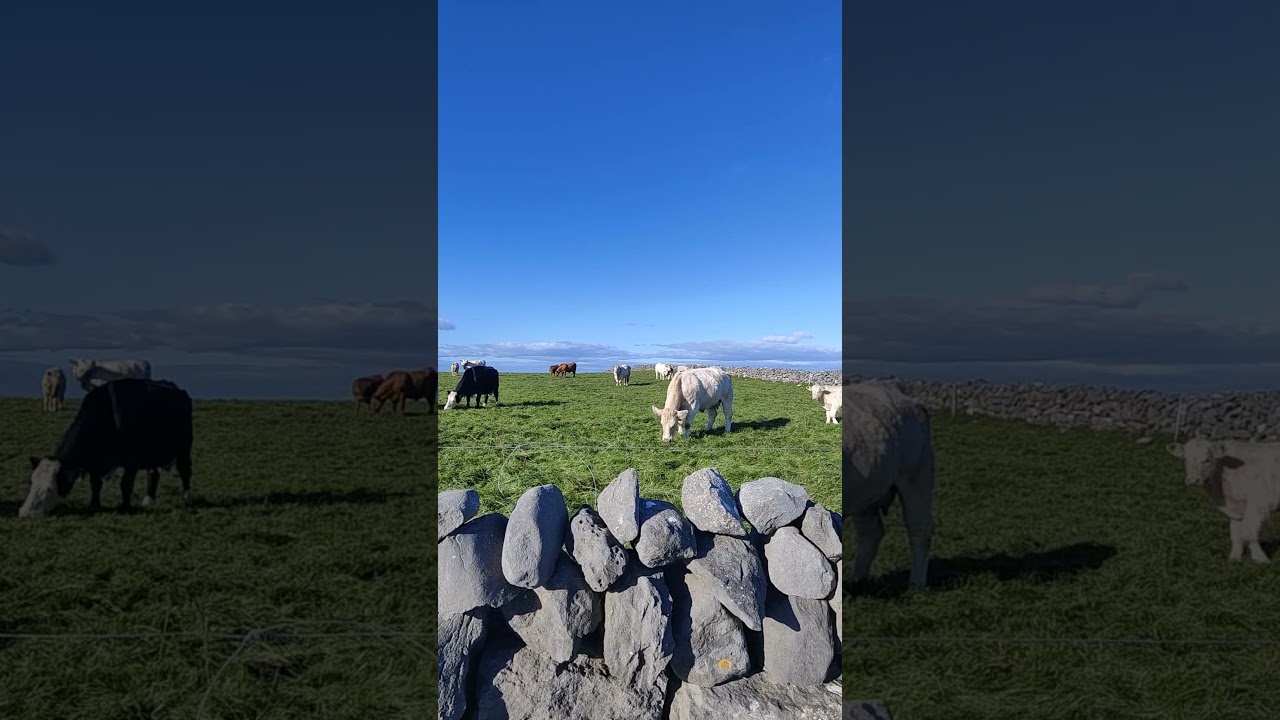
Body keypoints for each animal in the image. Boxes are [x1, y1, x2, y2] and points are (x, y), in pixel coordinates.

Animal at [20, 378, 194, 517]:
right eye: (32, 482)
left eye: (50, 488)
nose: (25, 512)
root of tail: (178, 390)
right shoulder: (95, 462)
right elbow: (95, 484)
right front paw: (94, 505)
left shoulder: (132, 460)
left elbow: (125, 484)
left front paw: (125, 507)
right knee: (153, 472)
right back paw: (148, 499)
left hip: (184, 448)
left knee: (185, 470)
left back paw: (186, 498)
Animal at [844, 381, 936, 589]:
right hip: (864, 493)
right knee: (871, 533)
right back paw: (856, 580)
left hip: (917, 478)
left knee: (920, 530)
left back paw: (917, 584)